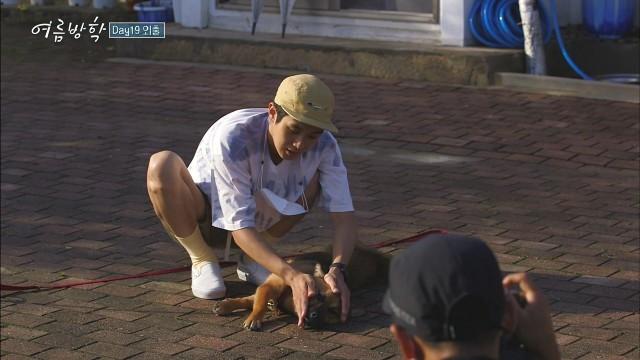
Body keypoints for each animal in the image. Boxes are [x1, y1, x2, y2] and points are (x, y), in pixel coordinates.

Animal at [214, 245, 390, 330]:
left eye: (333, 312)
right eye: (318, 295)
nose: (314, 316)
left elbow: (255, 301)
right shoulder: (269, 286)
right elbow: (256, 302)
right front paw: (249, 315)